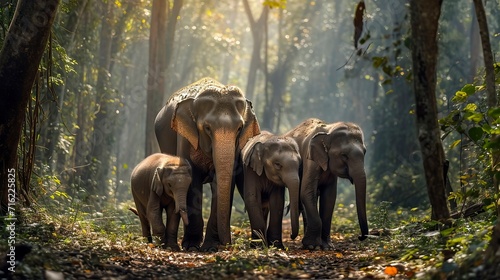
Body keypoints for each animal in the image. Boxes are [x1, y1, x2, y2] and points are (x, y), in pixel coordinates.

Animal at [154, 77, 260, 252]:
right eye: (207, 128)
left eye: (239, 128)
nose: (228, 244)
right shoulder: (185, 137)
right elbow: (192, 179)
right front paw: (191, 246)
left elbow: (223, 182)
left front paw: (211, 247)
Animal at [286, 118, 368, 249]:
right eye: (344, 155)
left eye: (364, 153)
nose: (360, 237)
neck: (329, 130)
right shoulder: (310, 159)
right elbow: (307, 192)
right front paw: (312, 246)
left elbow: (329, 197)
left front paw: (327, 247)